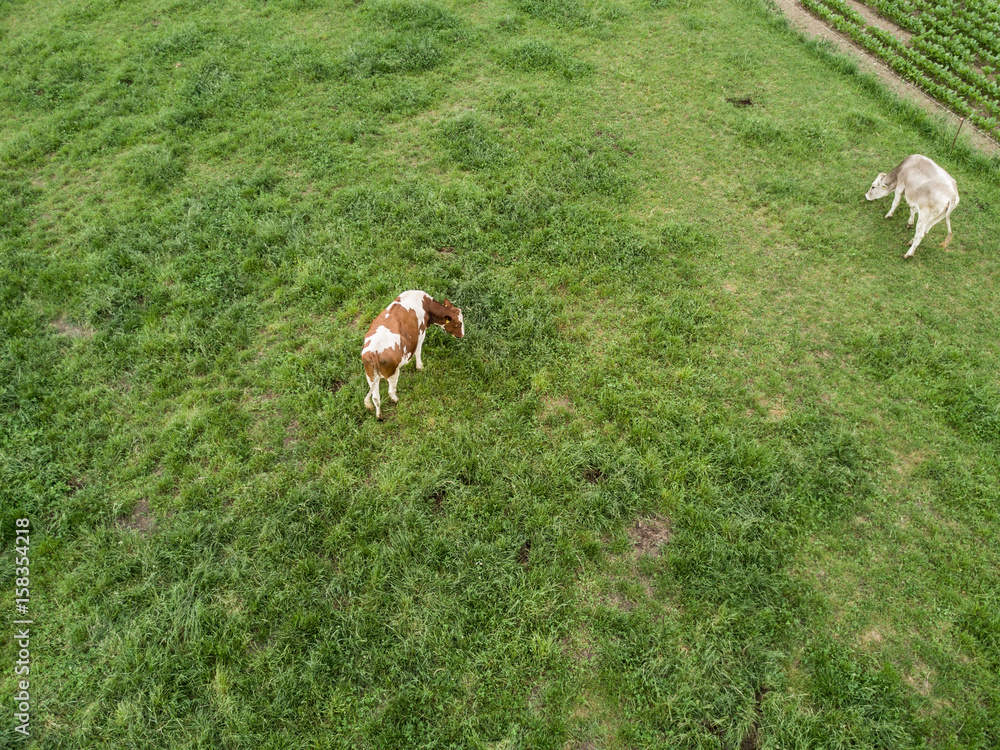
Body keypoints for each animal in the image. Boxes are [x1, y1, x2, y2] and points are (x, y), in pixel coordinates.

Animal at [362, 290, 464, 419]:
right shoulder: (421, 333)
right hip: (393, 372)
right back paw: (396, 400)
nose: (462, 335)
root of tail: (374, 352)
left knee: (375, 397)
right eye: (458, 325)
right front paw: (420, 367)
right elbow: (418, 351)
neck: (425, 304)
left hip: (370, 375)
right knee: (390, 391)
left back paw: (379, 416)